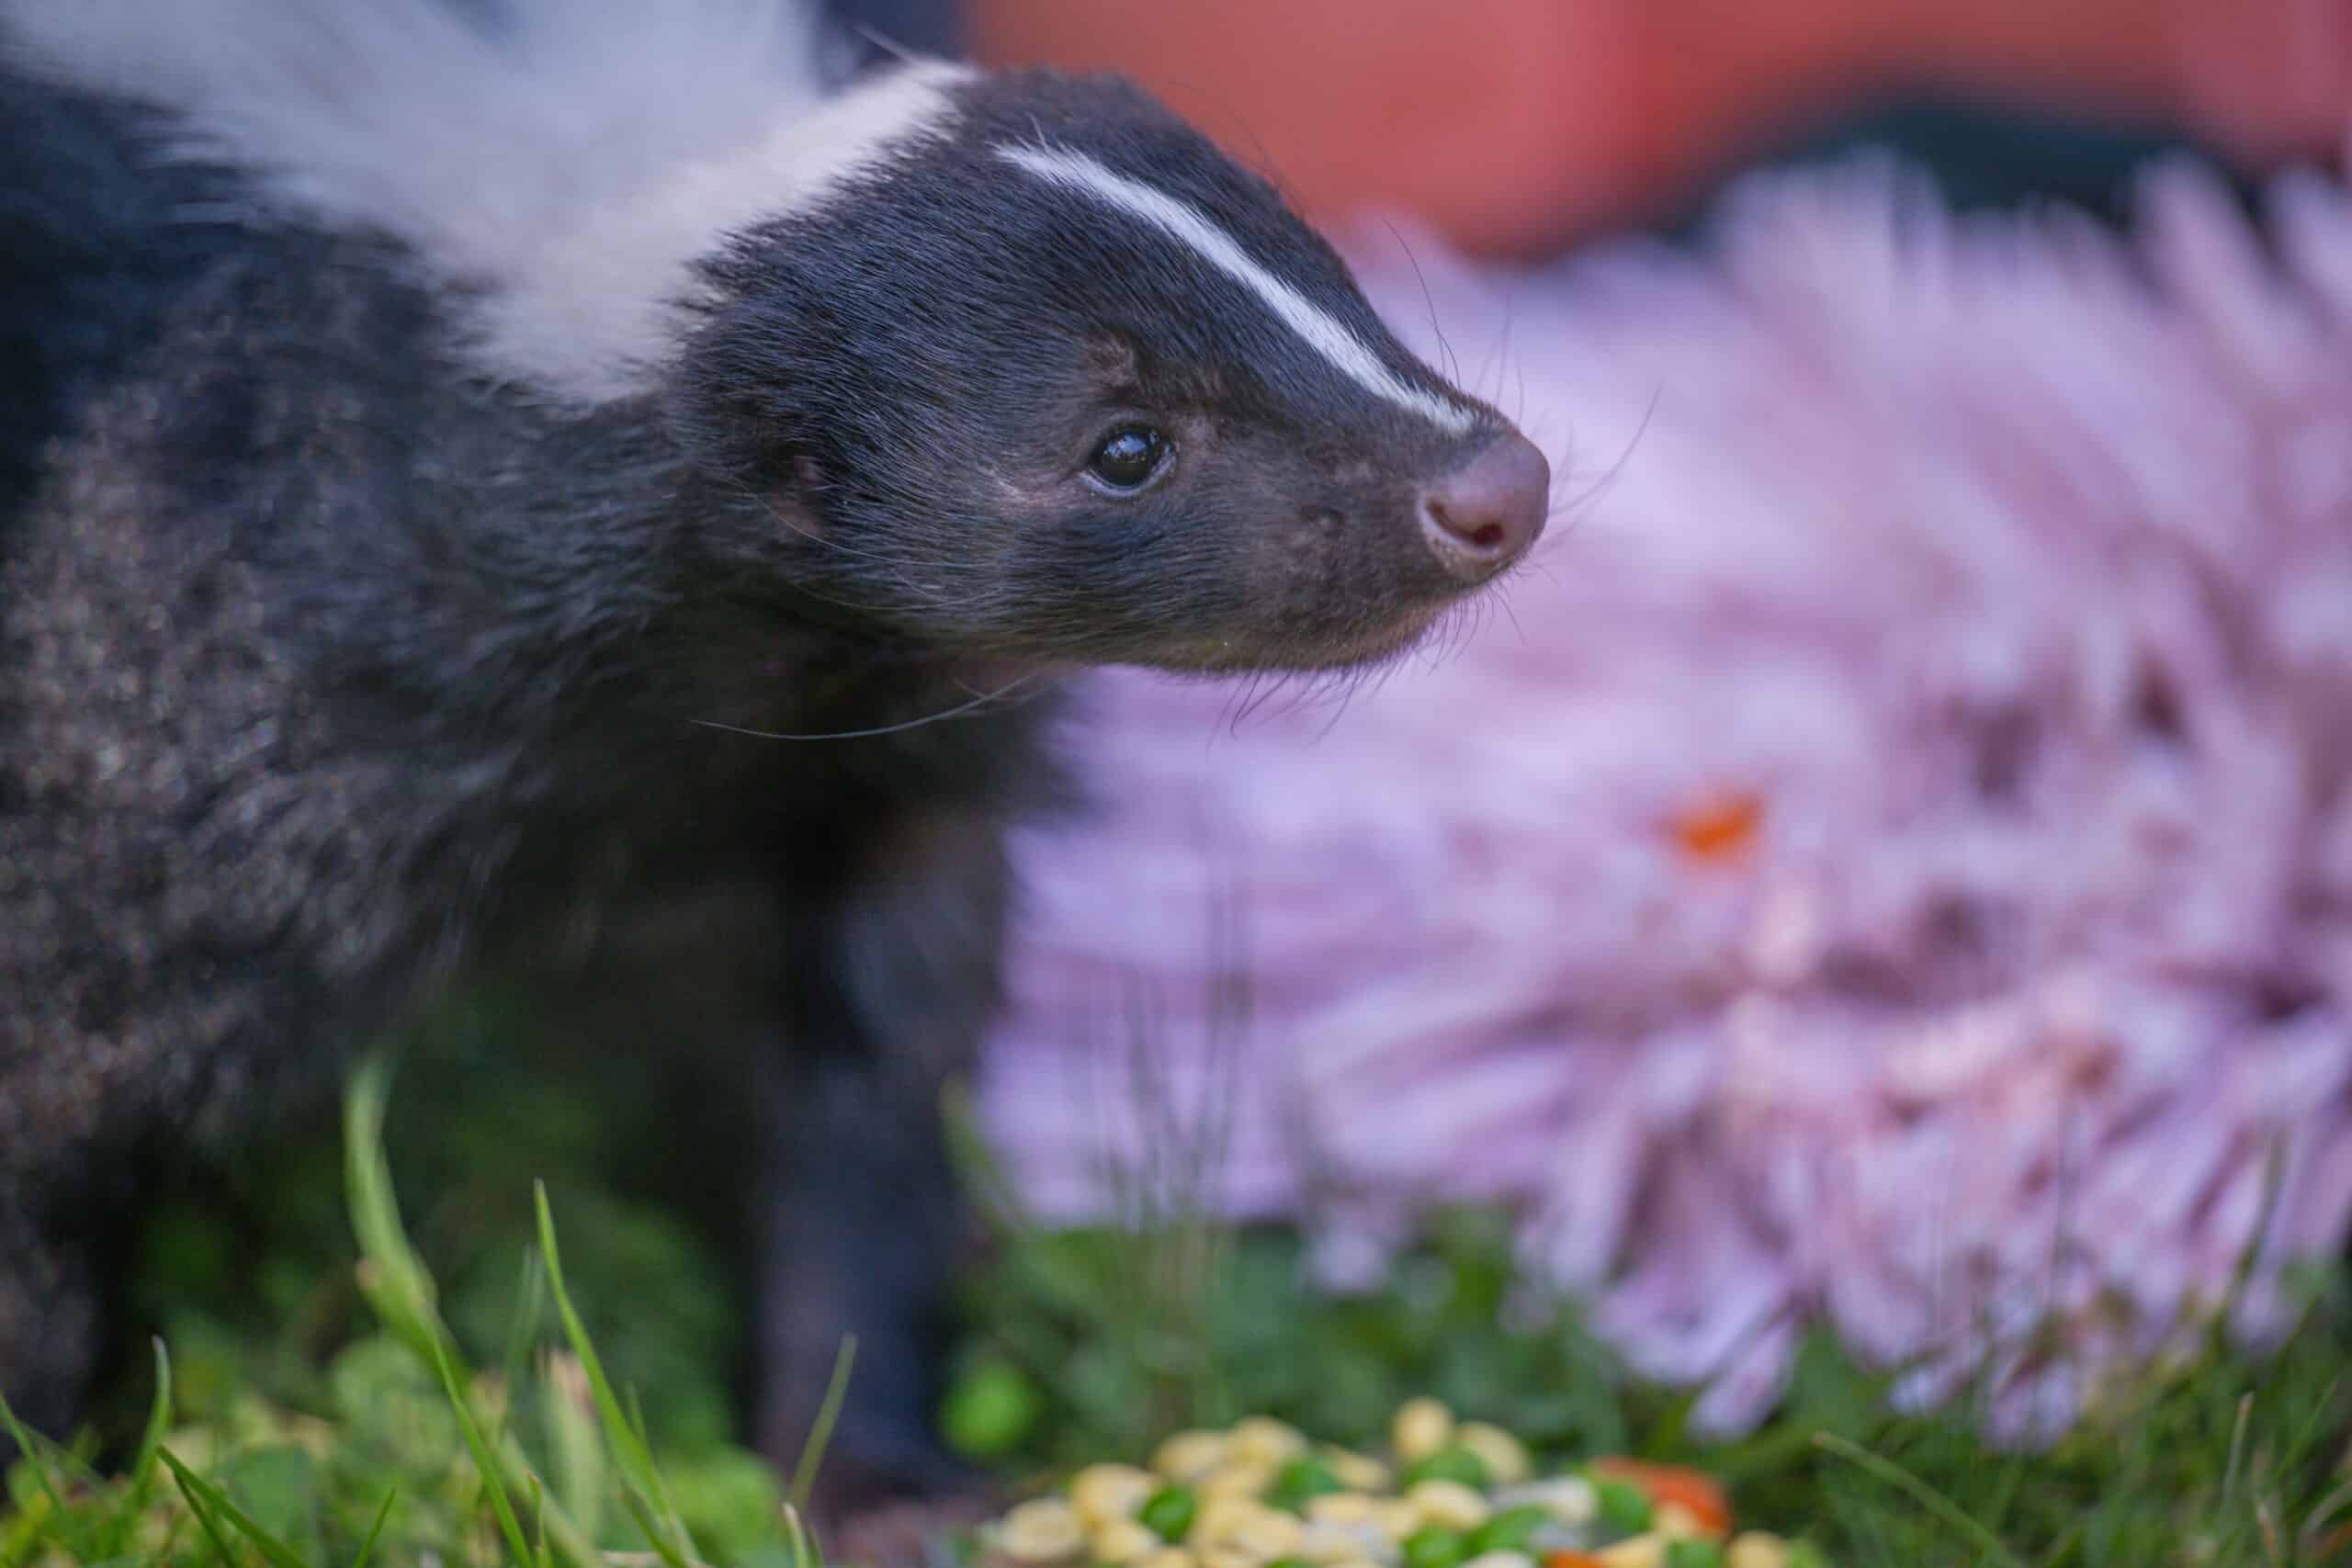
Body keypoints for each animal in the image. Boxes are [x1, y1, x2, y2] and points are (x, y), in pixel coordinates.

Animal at [0, 0, 1552, 1532]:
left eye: (1319, 276)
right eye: (1125, 447)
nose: (1494, 487)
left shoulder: (866, 783)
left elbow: (865, 1077)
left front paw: (867, 1471)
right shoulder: (206, 623)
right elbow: (59, 1054)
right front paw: (53, 1467)